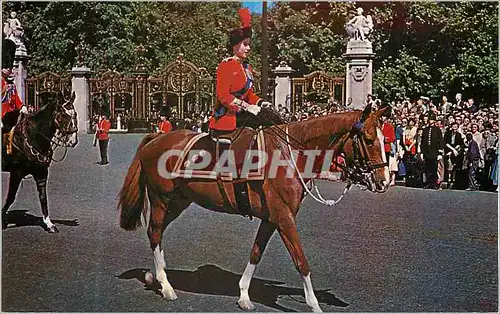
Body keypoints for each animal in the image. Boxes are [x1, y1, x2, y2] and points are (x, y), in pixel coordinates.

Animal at [118, 103, 390, 312]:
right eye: (368, 140)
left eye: (384, 139)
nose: (385, 180)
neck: (291, 154)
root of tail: (157, 137)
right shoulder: (284, 218)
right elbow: (301, 261)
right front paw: (314, 305)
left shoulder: (271, 218)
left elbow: (256, 253)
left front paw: (244, 295)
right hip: (161, 200)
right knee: (155, 233)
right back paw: (165, 285)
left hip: (179, 202)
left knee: (157, 233)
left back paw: (155, 275)